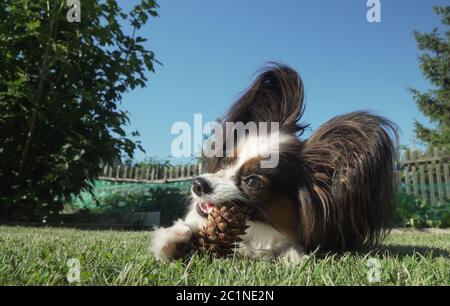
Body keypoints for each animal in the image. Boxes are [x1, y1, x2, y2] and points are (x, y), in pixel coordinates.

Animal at [151, 62, 398, 262]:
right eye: (226, 160)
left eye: (252, 181)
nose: (198, 184)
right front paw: (174, 238)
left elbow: (292, 251)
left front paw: (295, 259)